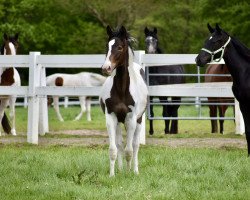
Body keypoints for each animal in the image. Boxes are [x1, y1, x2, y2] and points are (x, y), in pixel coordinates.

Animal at [100, 25, 148, 177]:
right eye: (107, 46)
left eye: (120, 47)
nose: (106, 68)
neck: (121, 90)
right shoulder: (111, 117)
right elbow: (113, 148)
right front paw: (112, 175)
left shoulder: (131, 119)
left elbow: (130, 150)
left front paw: (129, 173)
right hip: (119, 122)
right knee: (120, 144)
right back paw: (120, 169)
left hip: (138, 120)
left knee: (135, 145)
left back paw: (135, 170)